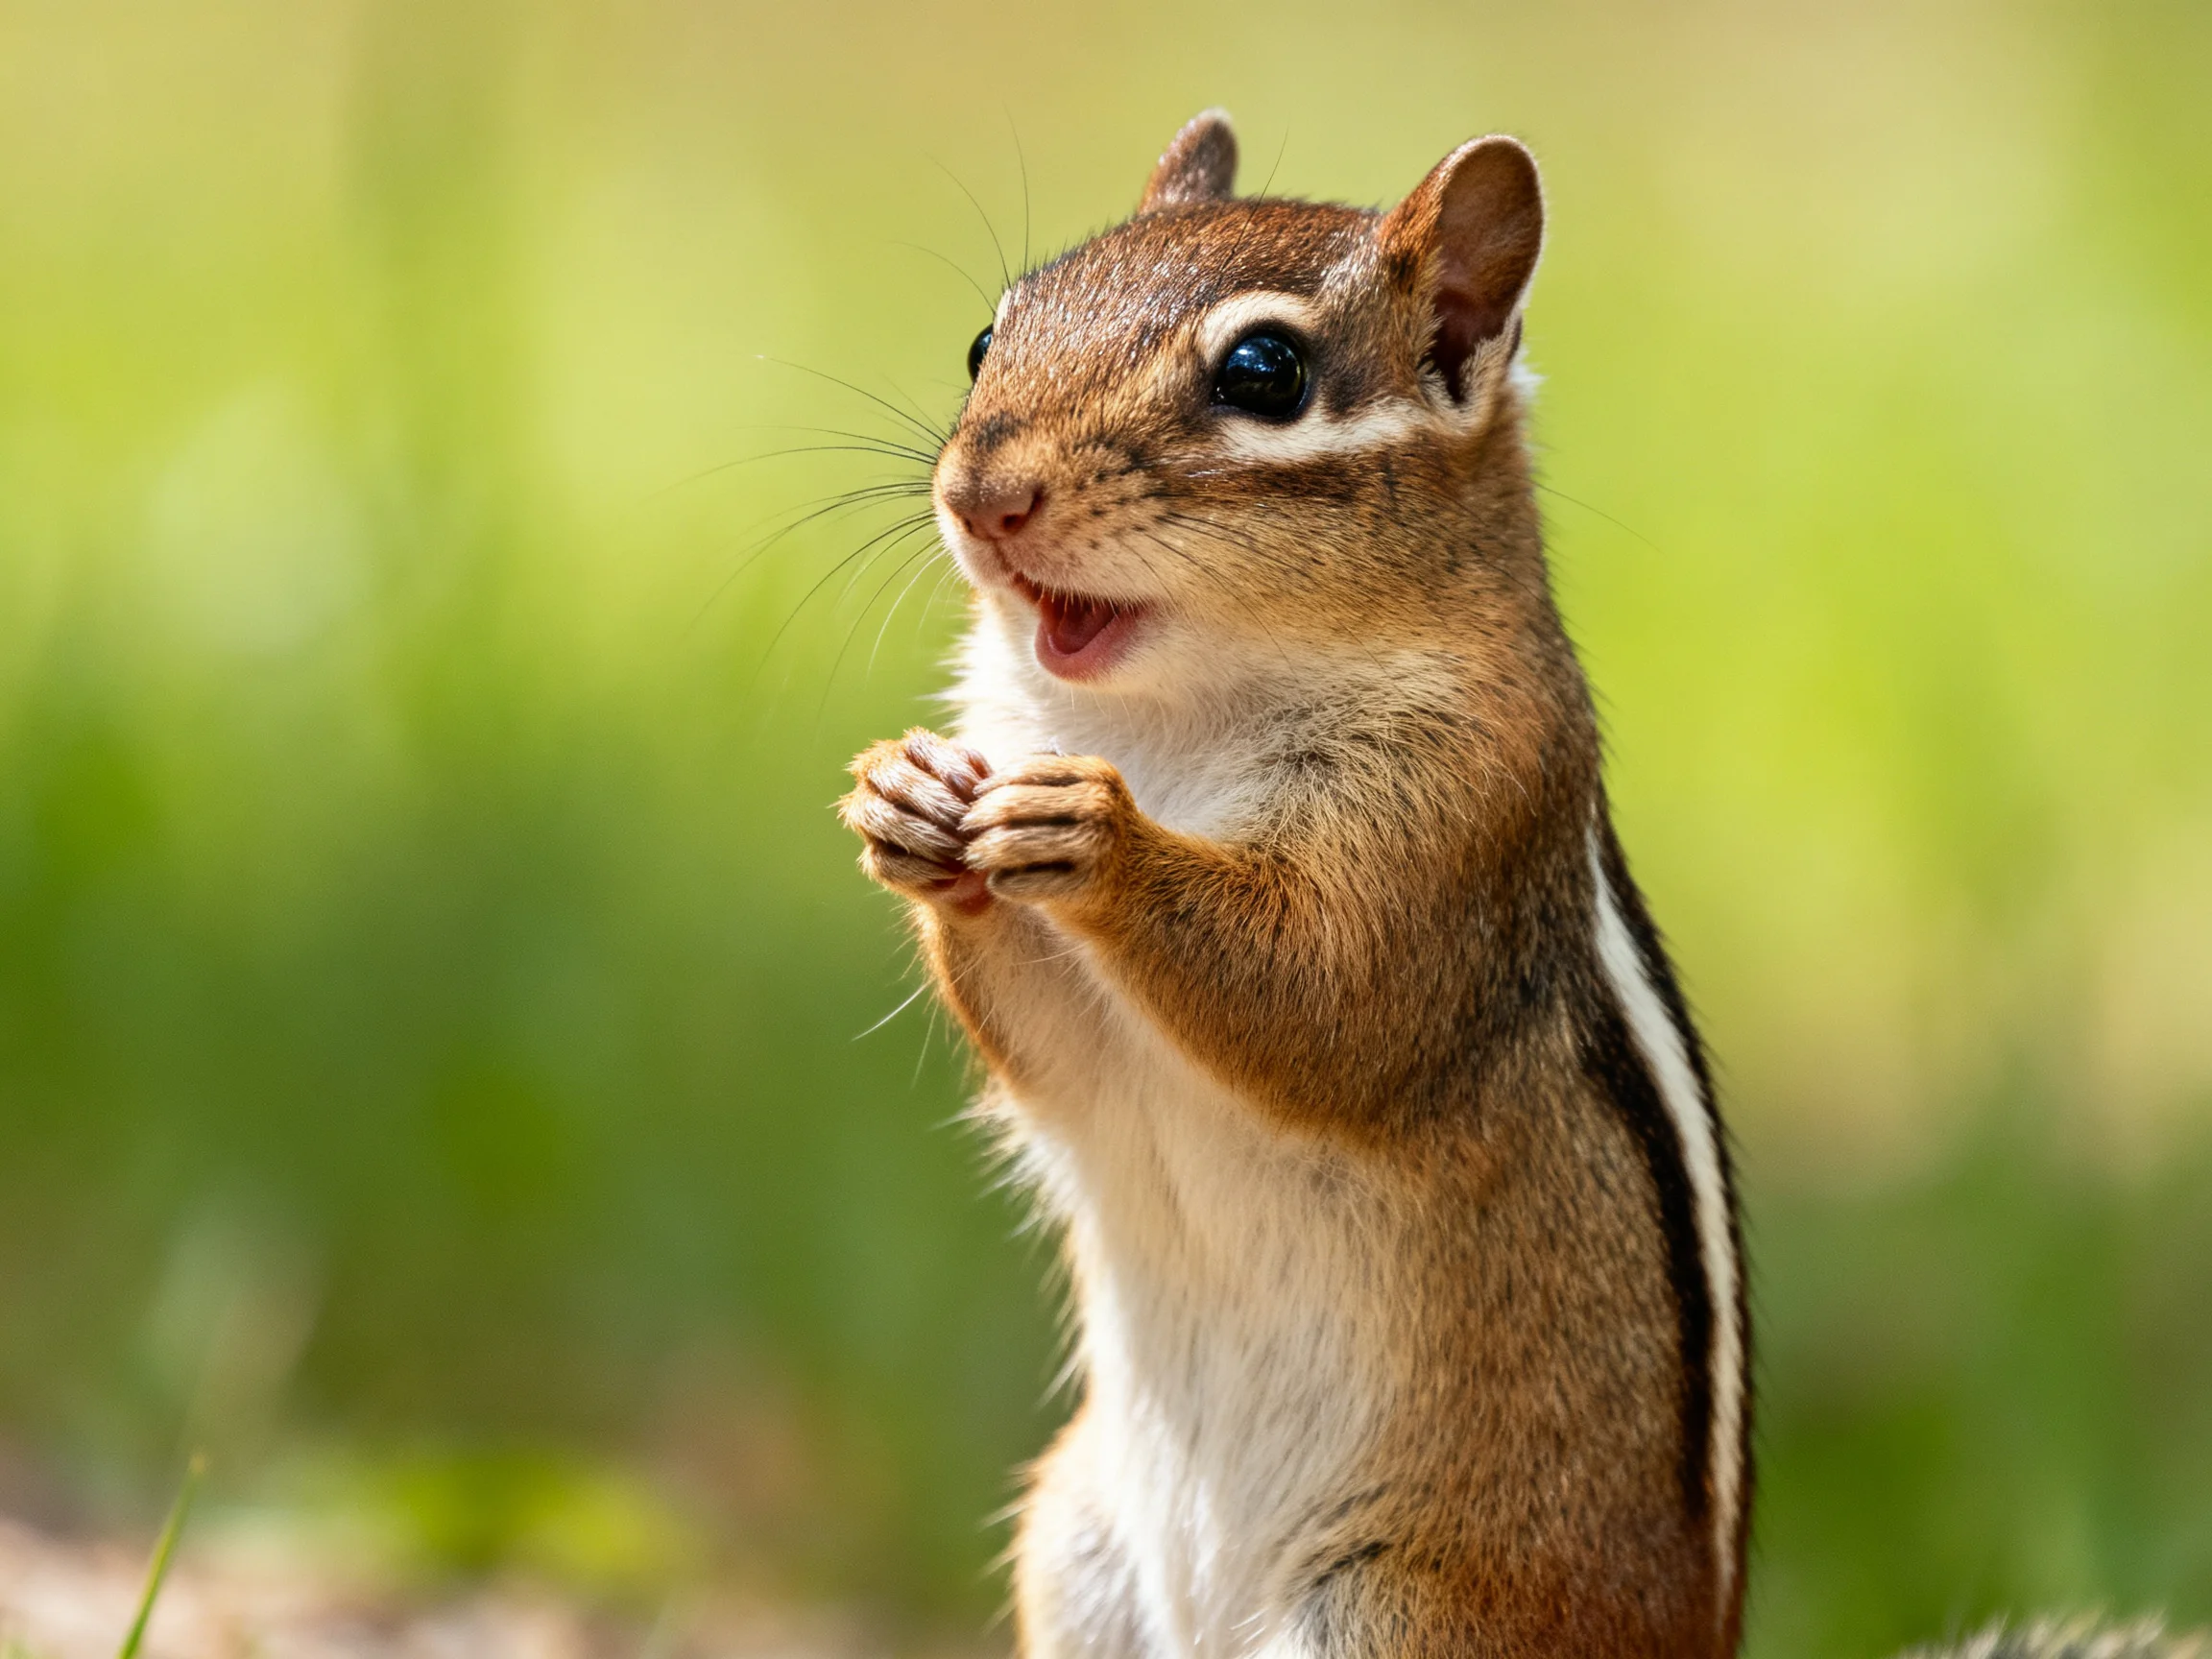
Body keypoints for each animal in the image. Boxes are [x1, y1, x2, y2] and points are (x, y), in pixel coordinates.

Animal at [836, 112, 2201, 1659]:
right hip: (1081, 1550)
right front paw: (906, 804)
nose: (980, 496)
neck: (1162, 722)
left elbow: (1325, 1003)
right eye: (984, 339)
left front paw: (1099, 838)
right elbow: (1060, 1055)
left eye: (1264, 373)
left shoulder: (1461, 822)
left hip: (1395, 1619)